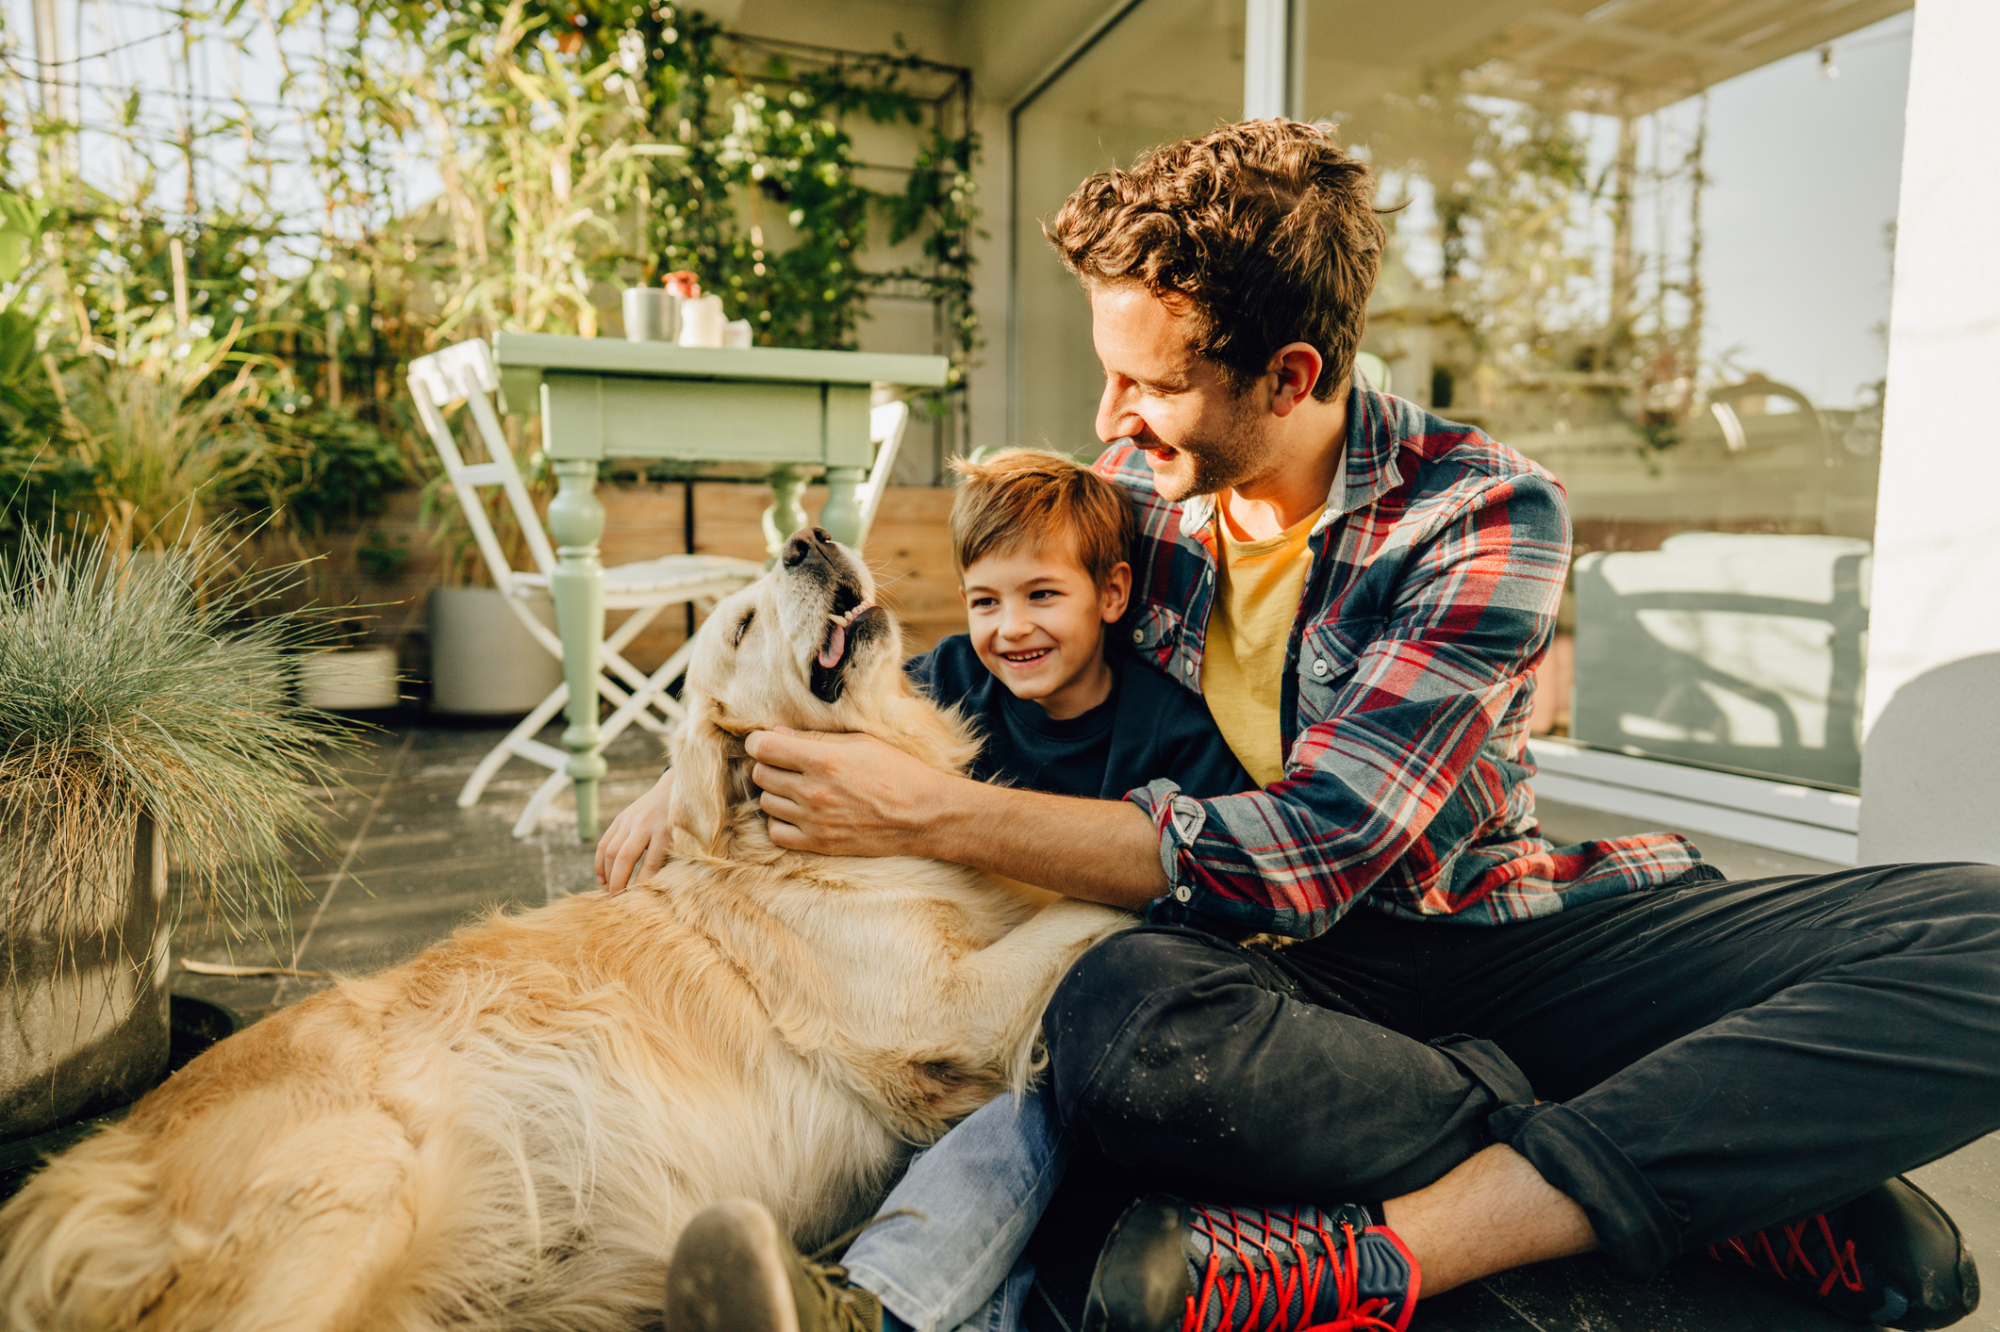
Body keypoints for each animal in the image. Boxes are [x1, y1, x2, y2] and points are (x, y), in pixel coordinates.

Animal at [0, 524, 1136, 1320]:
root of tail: (68, 1180)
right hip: (350, 1192)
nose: (808, 537)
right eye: (739, 627)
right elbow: (1089, 915)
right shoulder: (944, 1002)